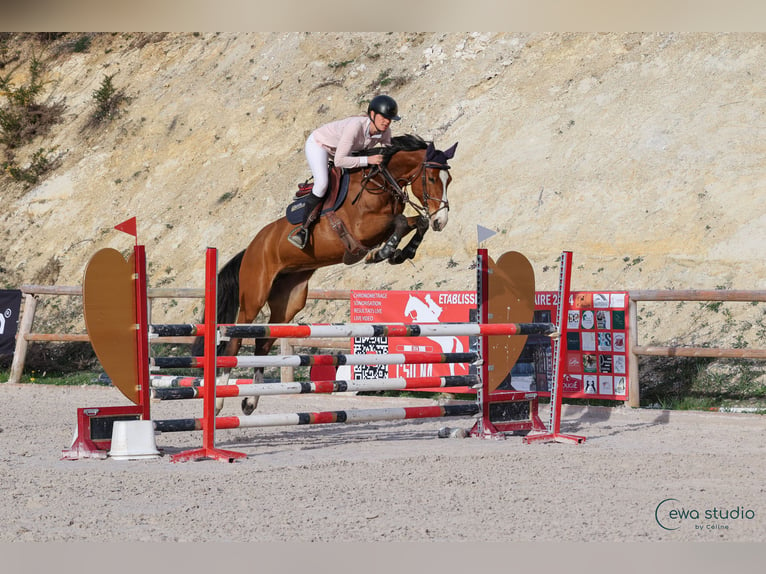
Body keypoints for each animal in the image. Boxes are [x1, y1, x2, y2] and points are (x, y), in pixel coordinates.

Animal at [195, 134, 460, 414]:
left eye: (449, 180)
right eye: (432, 179)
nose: (442, 221)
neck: (380, 183)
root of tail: (251, 248)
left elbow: (416, 222)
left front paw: (402, 252)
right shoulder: (363, 229)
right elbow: (400, 221)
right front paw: (384, 252)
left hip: (289, 300)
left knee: (263, 343)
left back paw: (250, 400)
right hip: (253, 297)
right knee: (234, 340)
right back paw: (219, 401)